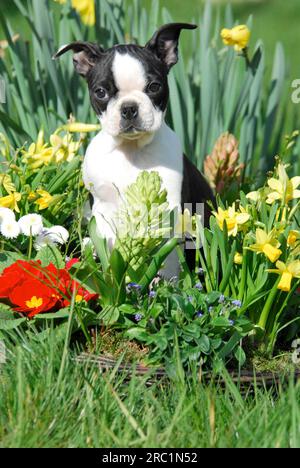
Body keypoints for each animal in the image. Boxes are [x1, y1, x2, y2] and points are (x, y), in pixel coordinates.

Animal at [54, 22, 213, 274]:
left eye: (154, 86)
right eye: (101, 92)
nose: (129, 108)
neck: (131, 150)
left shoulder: (169, 214)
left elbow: (167, 261)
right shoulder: (102, 211)